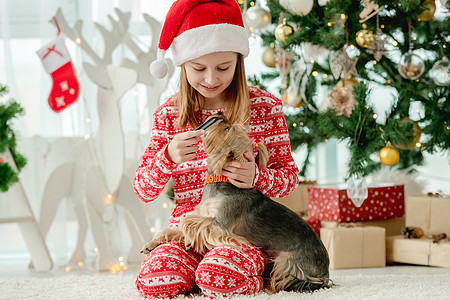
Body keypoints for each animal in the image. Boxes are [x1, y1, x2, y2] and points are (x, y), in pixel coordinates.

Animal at [142, 112, 332, 292]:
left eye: (226, 129)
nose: (220, 114)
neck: (221, 179)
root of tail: (325, 271)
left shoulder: (219, 226)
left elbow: (187, 221)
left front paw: (189, 238)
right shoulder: (205, 215)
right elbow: (176, 227)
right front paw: (153, 243)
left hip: (288, 262)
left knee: (282, 280)